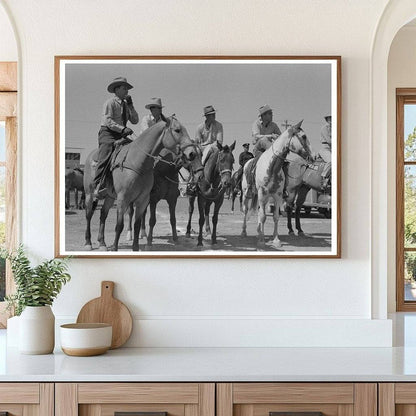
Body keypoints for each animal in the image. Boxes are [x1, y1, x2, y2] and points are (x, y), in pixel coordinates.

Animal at [83, 115, 198, 252]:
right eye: (177, 130)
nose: (192, 153)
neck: (137, 163)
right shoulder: (123, 199)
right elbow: (119, 225)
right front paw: (115, 248)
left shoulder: (143, 199)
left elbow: (137, 224)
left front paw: (136, 248)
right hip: (89, 194)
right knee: (89, 215)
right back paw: (88, 242)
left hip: (110, 197)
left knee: (103, 215)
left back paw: (102, 243)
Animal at [240, 120, 312, 250]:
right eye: (303, 136)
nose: (311, 157)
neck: (272, 167)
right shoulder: (262, 194)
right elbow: (263, 216)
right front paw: (261, 241)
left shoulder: (277, 196)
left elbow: (275, 217)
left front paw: (276, 240)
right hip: (246, 194)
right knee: (246, 210)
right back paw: (244, 232)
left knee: (259, 211)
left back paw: (259, 232)